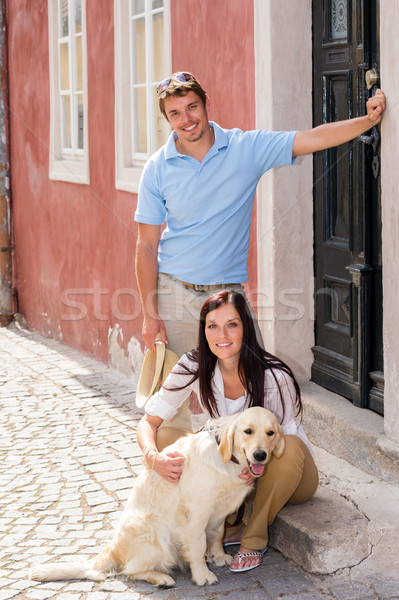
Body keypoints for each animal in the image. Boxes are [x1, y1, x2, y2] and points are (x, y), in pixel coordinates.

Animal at [30, 406, 284, 588]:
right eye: (247, 431)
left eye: (270, 433)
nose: (260, 455)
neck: (228, 460)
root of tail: (113, 548)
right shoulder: (196, 514)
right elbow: (198, 546)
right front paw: (202, 574)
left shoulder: (219, 512)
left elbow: (216, 535)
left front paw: (219, 556)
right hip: (155, 532)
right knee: (130, 571)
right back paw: (161, 578)